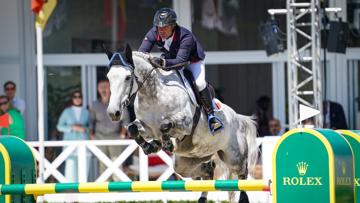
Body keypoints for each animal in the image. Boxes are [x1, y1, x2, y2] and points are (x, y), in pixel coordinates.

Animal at [105, 46, 258, 203]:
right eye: (108, 77)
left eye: (127, 77)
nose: (113, 112)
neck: (153, 96)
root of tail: (237, 117)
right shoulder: (148, 128)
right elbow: (132, 129)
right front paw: (151, 146)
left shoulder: (186, 123)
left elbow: (165, 125)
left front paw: (165, 144)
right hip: (187, 162)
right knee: (208, 171)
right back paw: (202, 198)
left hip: (234, 156)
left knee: (242, 174)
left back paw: (243, 198)